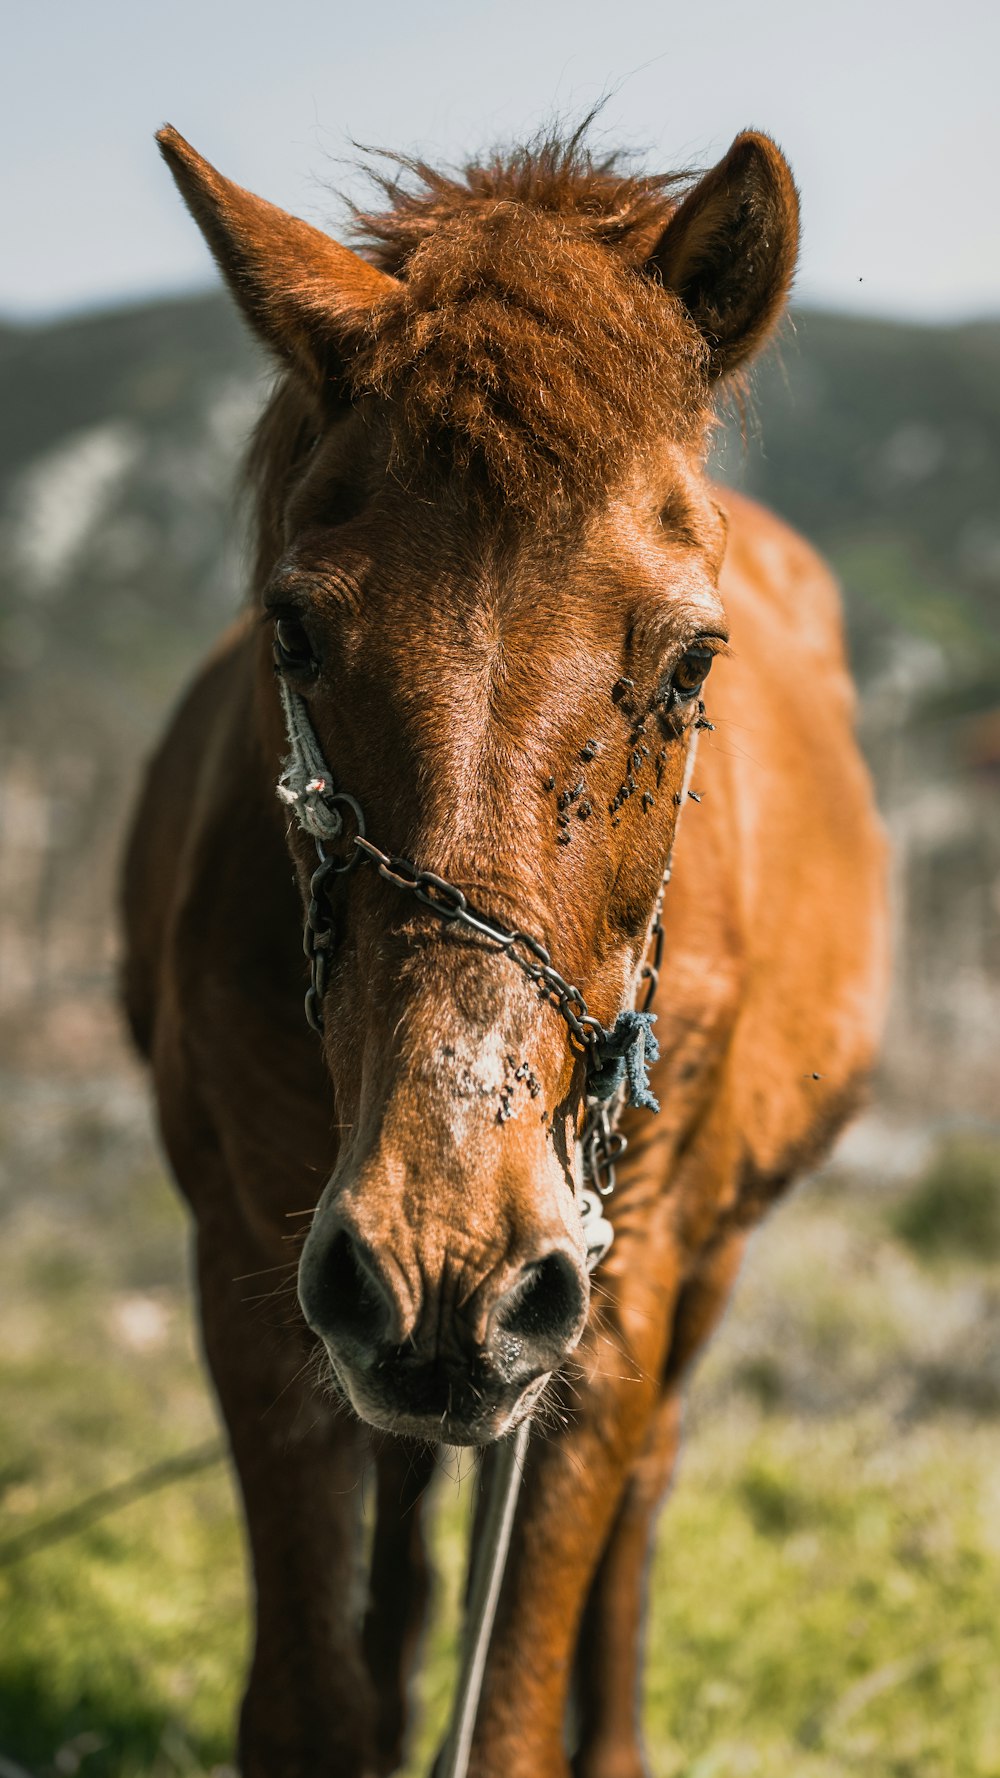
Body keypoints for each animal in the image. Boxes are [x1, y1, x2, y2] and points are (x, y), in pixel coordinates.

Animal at [122, 125, 879, 1778]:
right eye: (292, 631)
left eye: (692, 661)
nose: (447, 1248)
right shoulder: (254, 1269)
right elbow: (312, 1699)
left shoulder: (615, 1284)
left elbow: (520, 1696)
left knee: (643, 1488)